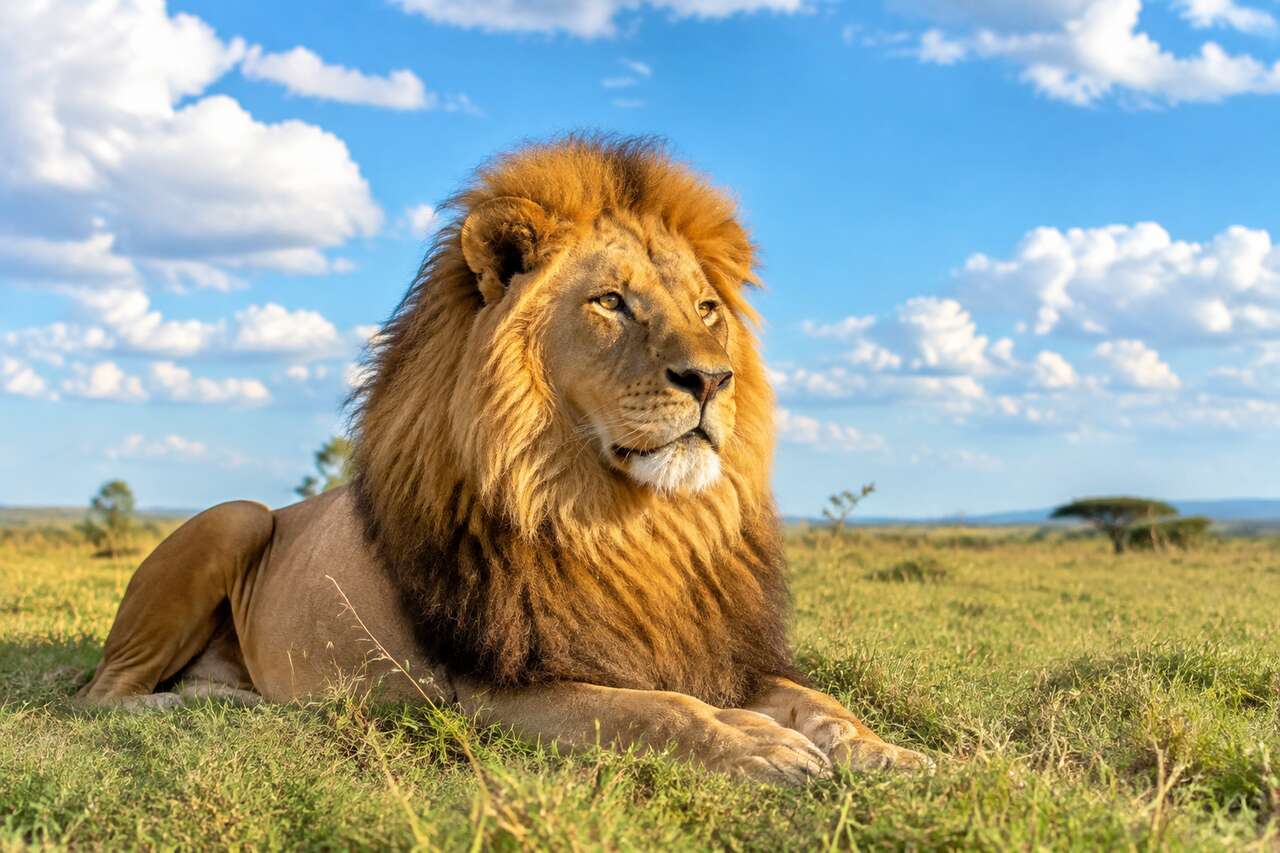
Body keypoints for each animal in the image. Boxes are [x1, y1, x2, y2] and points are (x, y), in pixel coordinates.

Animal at [79, 136, 933, 783]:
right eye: (611, 302)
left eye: (706, 308)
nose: (712, 379)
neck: (629, 525)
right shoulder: (495, 689)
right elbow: (652, 709)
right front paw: (755, 744)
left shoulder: (716, 649)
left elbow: (823, 703)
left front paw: (893, 753)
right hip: (236, 518)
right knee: (101, 690)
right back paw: (189, 702)